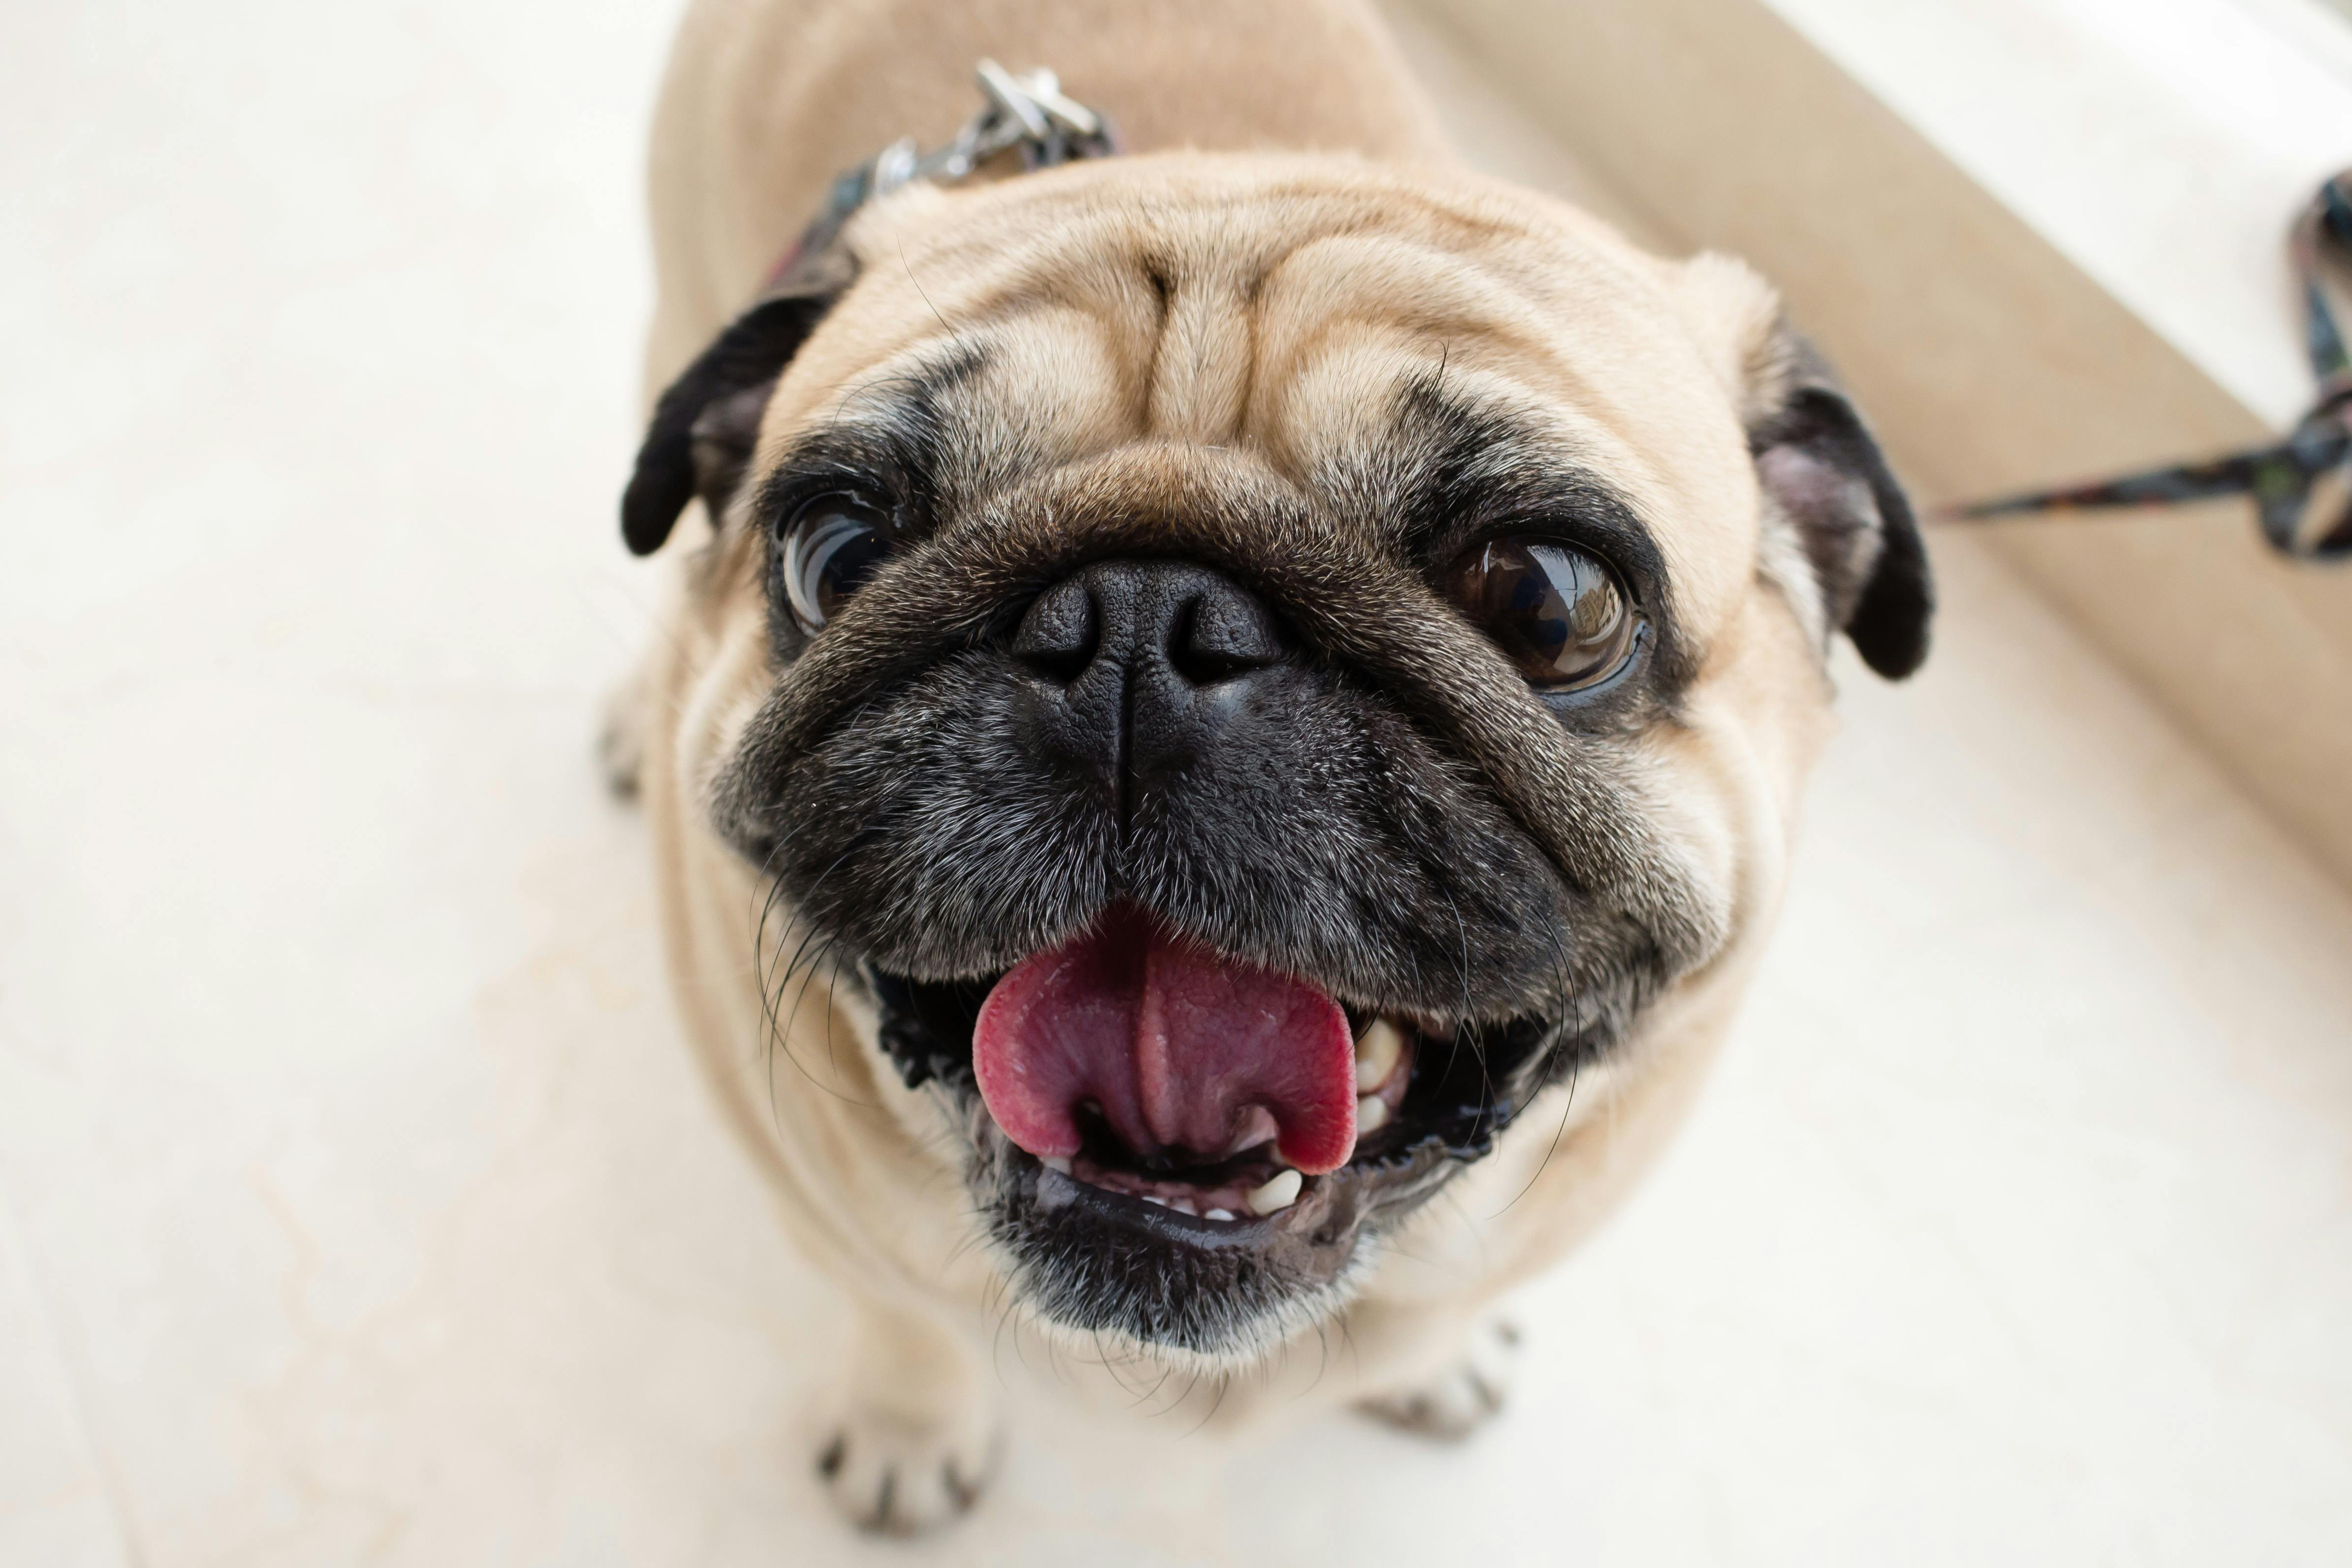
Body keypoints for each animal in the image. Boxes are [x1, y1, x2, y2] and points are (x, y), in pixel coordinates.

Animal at [602, 0, 1928, 1542]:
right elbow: (906, 1321)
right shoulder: (825, 1214)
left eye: (1549, 602)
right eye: (839, 552)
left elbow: (1447, 1302)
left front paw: (1440, 1356)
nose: (1140, 626)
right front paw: (907, 1432)